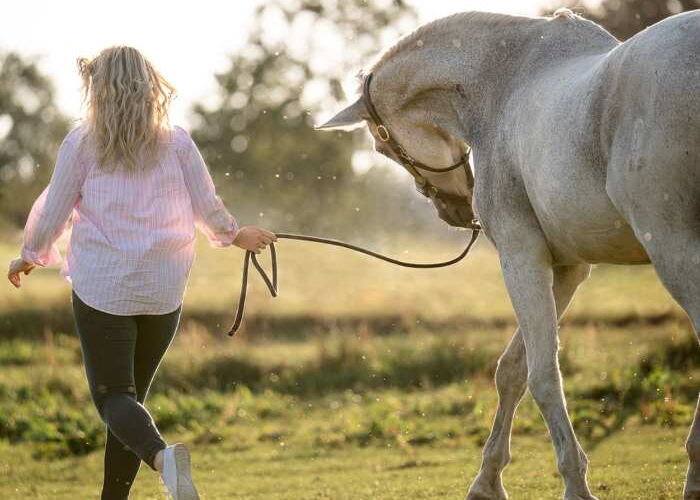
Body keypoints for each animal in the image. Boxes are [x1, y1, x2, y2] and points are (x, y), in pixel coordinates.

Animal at [317, 8, 700, 500]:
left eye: (383, 147)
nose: (455, 211)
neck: (501, 84)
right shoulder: (567, 268)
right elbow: (513, 370)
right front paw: (487, 480)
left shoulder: (521, 257)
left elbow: (542, 374)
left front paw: (574, 484)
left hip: (674, 249)